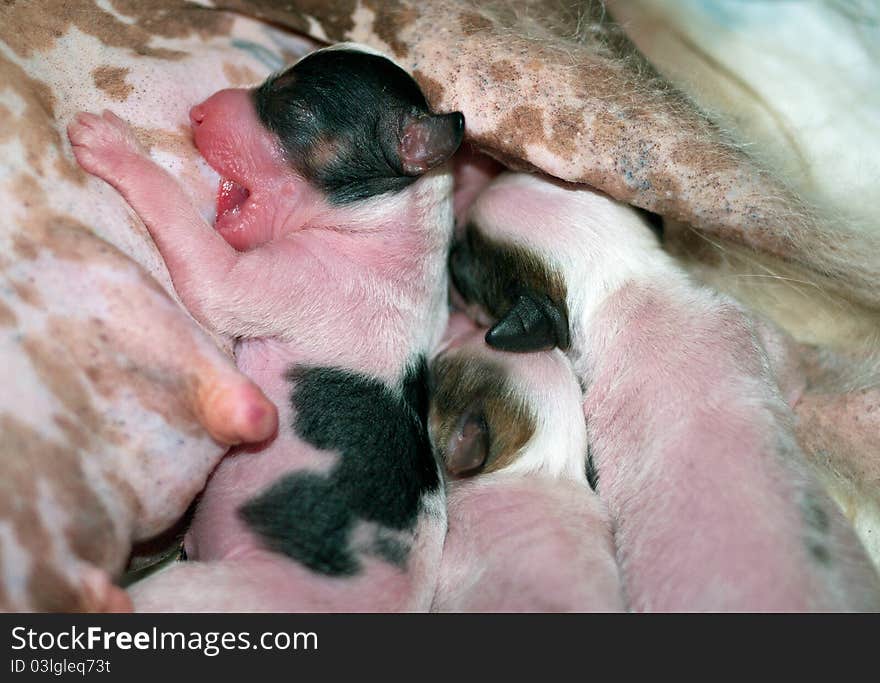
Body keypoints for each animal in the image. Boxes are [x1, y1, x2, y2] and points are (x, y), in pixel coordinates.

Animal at [69, 45, 464, 612]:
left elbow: (187, 231)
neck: (389, 216)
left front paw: (116, 145)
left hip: (205, 590)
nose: (198, 113)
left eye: (294, 108)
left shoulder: (278, 279)